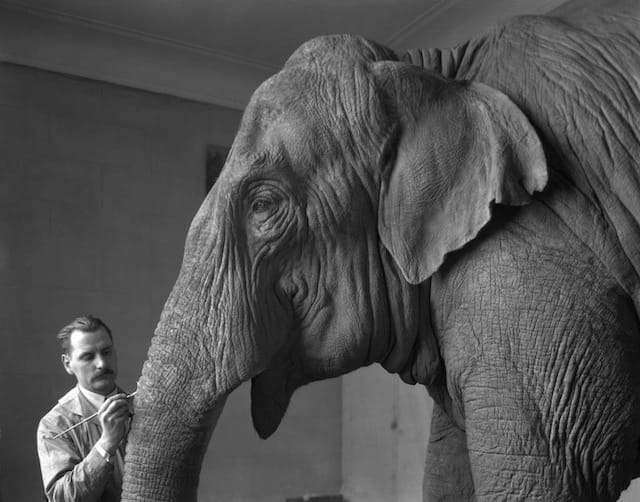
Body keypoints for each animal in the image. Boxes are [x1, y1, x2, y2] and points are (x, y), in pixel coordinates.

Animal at [121, 0, 640, 500]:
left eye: (262, 204)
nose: (119, 406)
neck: (431, 70)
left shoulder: (533, 259)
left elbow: (542, 473)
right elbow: (447, 472)